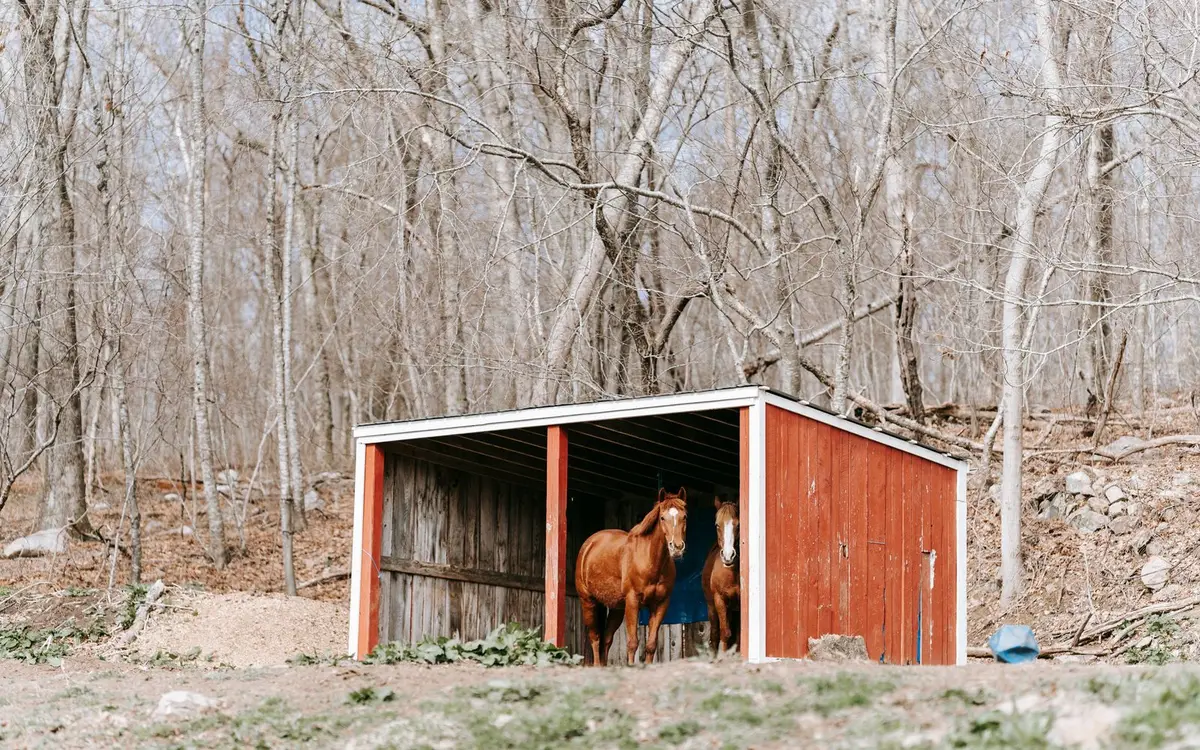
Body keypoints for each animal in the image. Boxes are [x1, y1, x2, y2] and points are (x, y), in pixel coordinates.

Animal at [574, 488, 688, 666]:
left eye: (685, 516)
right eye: (662, 517)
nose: (677, 548)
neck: (649, 560)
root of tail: (589, 544)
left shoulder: (661, 604)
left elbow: (651, 644)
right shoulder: (633, 601)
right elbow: (633, 643)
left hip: (617, 608)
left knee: (607, 639)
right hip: (588, 601)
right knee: (595, 637)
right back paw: (598, 665)